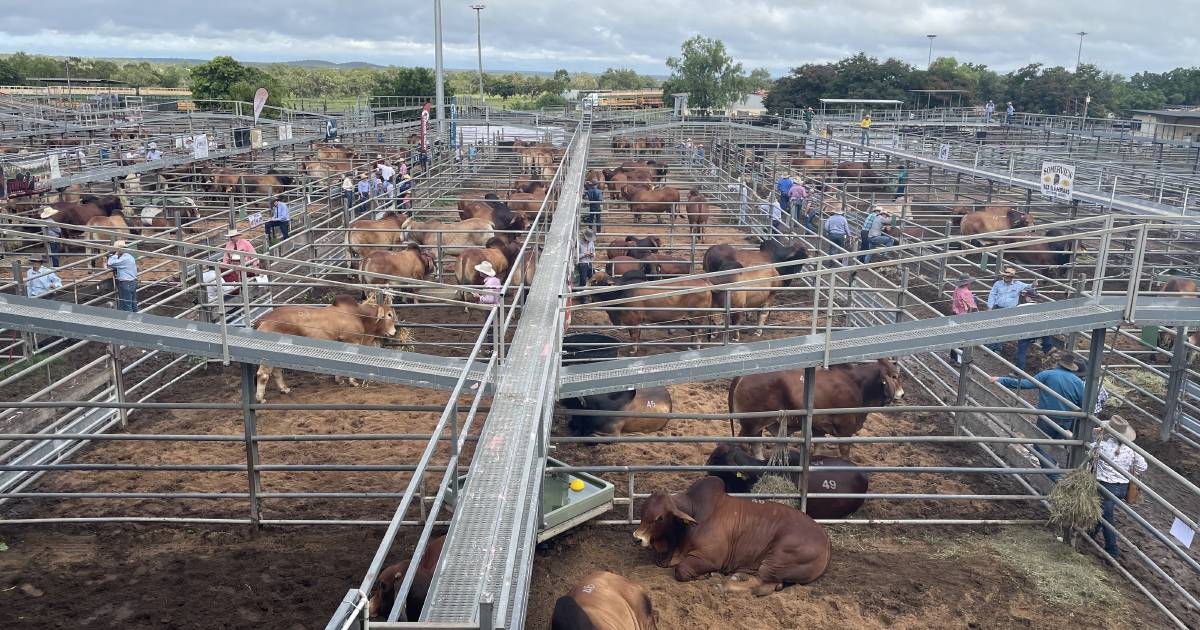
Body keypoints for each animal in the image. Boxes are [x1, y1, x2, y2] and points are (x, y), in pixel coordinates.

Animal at [633, 477, 830, 595]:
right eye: (642, 512)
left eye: (659, 518)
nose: (637, 538)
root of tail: (826, 540)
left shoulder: (709, 558)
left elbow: (681, 570)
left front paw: (708, 575)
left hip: (777, 561)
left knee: (763, 586)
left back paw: (725, 584)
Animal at [724, 357, 902, 456]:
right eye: (894, 376)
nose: (901, 394)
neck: (856, 383)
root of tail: (742, 377)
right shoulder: (846, 428)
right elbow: (844, 452)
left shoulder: (819, 428)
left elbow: (818, 448)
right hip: (751, 423)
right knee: (744, 444)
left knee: (756, 445)